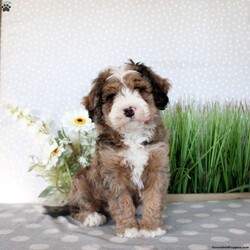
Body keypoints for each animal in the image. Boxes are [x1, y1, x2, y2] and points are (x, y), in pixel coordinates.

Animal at [45, 60, 171, 238]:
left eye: (139, 89)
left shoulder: (157, 166)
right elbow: (121, 202)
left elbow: (154, 198)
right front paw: (128, 228)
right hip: (81, 181)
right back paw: (92, 216)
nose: (129, 110)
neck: (132, 135)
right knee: (76, 208)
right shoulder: (112, 172)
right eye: (111, 96)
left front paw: (151, 227)